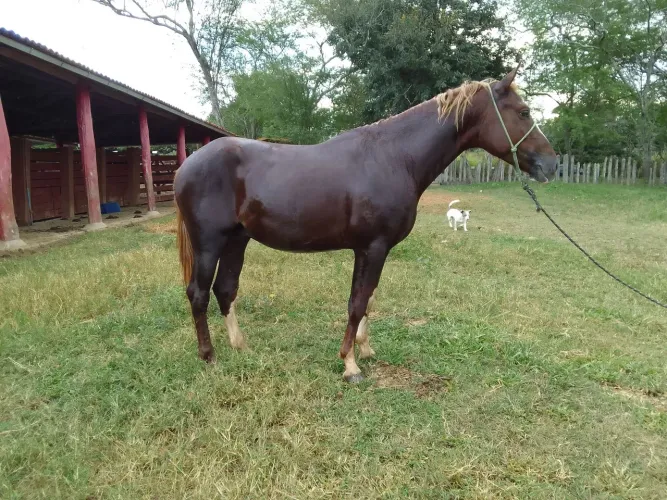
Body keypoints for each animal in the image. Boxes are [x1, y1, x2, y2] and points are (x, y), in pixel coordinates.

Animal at [174, 65, 558, 383]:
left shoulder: (370, 249)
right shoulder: (373, 247)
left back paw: (241, 347)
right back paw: (209, 357)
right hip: (209, 243)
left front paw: (365, 349)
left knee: (226, 289)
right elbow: (357, 303)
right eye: (523, 112)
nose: (551, 164)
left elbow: (367, 299)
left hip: (237, 240)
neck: (393, 158)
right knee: (199, 293)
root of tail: (187, 165)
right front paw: (350, 365)